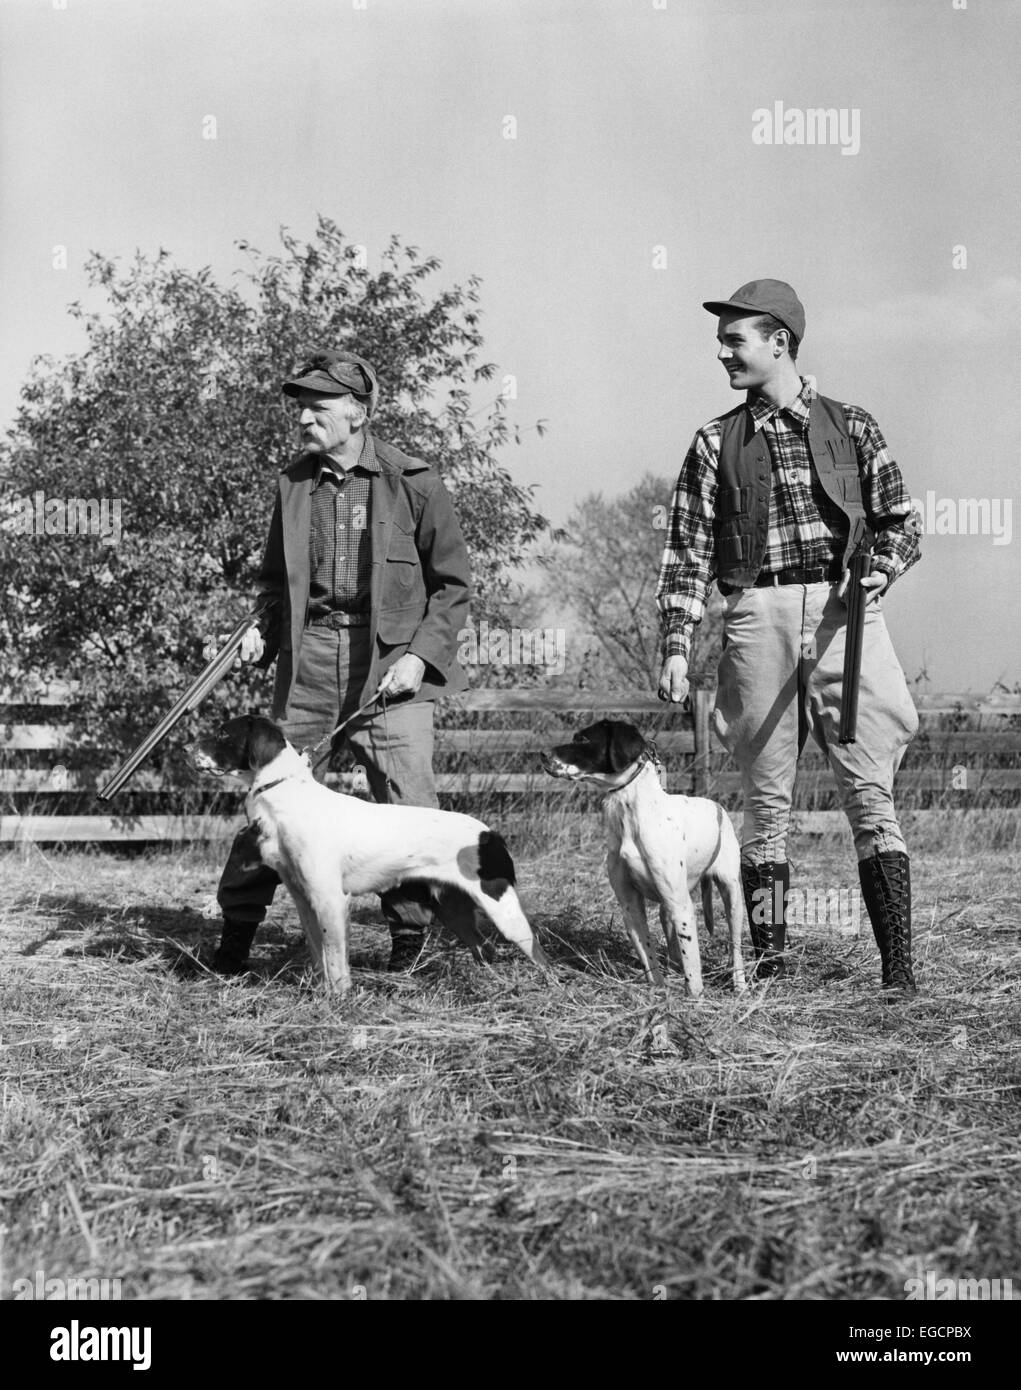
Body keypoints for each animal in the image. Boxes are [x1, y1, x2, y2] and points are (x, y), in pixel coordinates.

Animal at [195, 711, 555, 995]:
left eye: (224, 732)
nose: (188, 749)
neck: (287, 792)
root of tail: (490, 835)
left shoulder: (330, 899)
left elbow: (335, 958)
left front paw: (340, 997)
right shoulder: (304, 898)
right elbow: (318, 953)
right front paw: (321, 992)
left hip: (502, 909)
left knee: (539, 952)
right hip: (452, 908)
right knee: (485, 948)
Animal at [538, 717, 744, 1000]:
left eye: (583, 739)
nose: (542, 754)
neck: (632, 814)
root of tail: (717, 806)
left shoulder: (681, 904)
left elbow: (692, 965)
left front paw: (695, 998)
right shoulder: (630, 905)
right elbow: (648, 954)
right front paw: (658, 990)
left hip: (731, 893)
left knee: (735, 944)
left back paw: (740, 983)